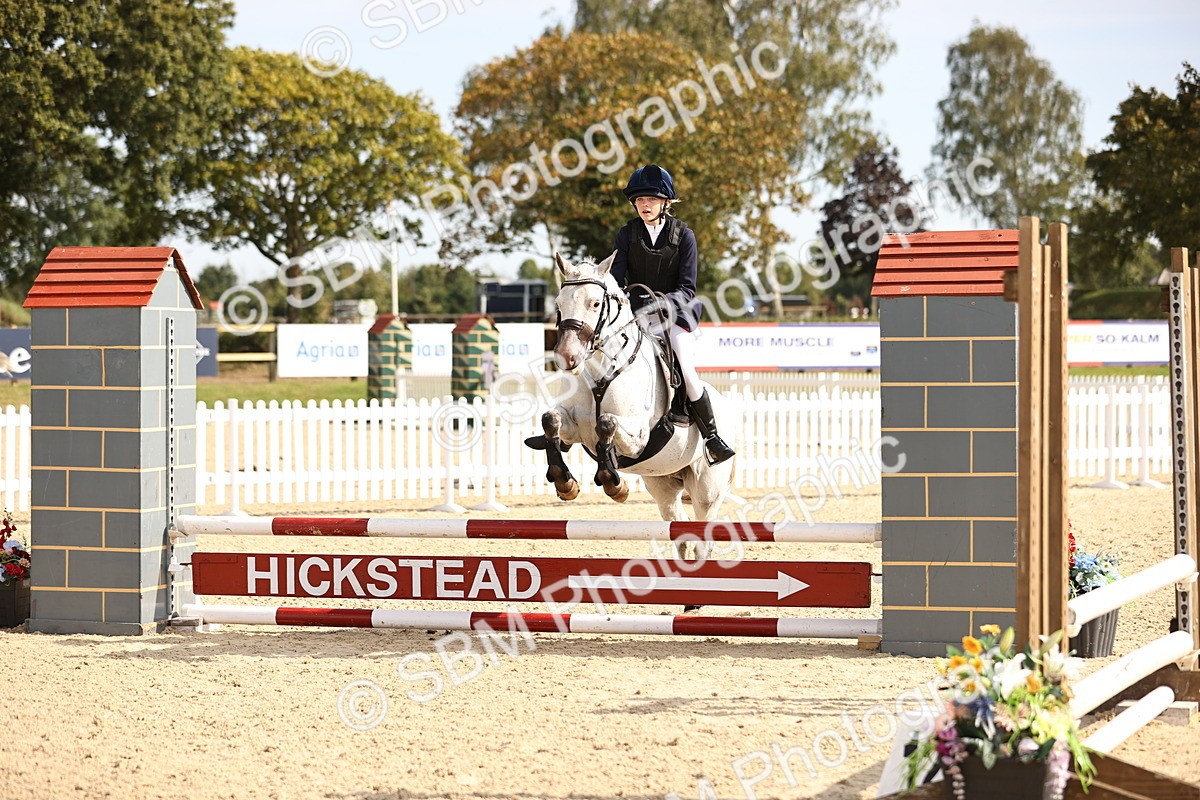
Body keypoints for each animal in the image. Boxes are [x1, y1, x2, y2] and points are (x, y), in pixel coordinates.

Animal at [526, 251, 737, 527]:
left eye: (595, 303)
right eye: (559, 304)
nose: (567, 357)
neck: (601, 369)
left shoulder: (638, 438)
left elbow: (606, 423)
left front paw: (615, 485)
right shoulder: (574, 429)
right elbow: (550, 419)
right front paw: (565, 482)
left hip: (706, 491)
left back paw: (717, 445)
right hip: (662, 481)